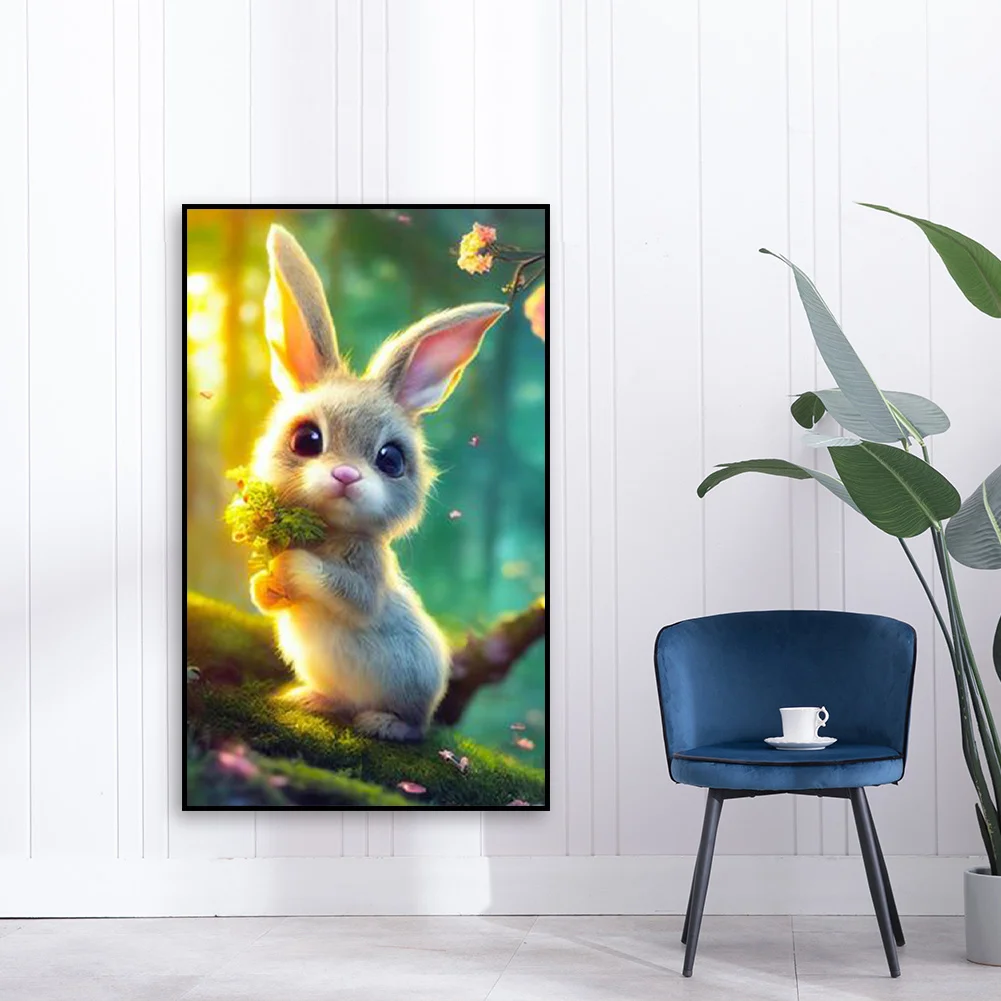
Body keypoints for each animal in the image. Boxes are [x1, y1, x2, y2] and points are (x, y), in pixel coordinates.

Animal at [247, 223, 507, 742]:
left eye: (390, 460)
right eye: (307, 440)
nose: (346, 475)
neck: (328, 530)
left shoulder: (369, 572)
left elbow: (350, 594)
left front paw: (289, 565)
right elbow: (266, 601)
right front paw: (266, 583)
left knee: (414, 725)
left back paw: (383, 724)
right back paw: (308, 698)